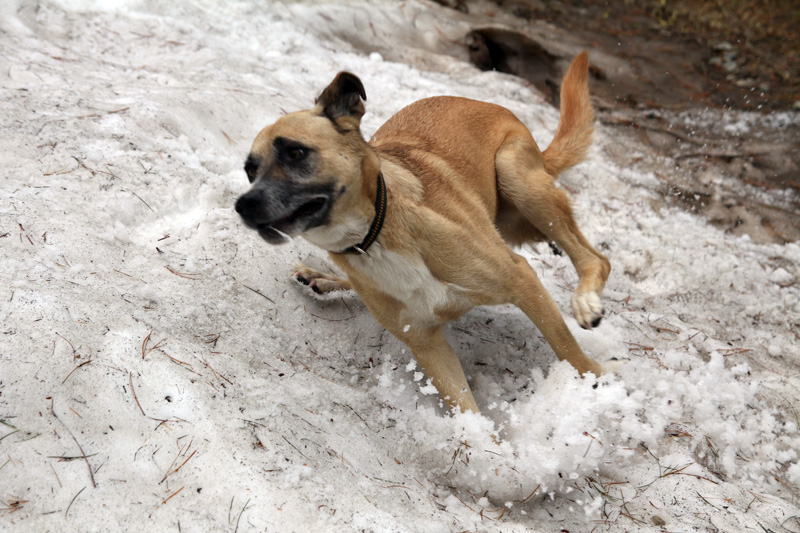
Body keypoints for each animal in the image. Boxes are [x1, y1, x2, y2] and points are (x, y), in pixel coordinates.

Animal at [234, 52, 608, 412]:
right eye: (250, 170)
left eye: (296, 152)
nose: (244, 205)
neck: (375, 236)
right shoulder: (427, 345)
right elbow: (466, 414)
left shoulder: (522, 280)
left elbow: (568, 351)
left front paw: (593, 384)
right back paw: (322, 278)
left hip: (516, 176)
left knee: (596, 259)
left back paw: (585, 301)